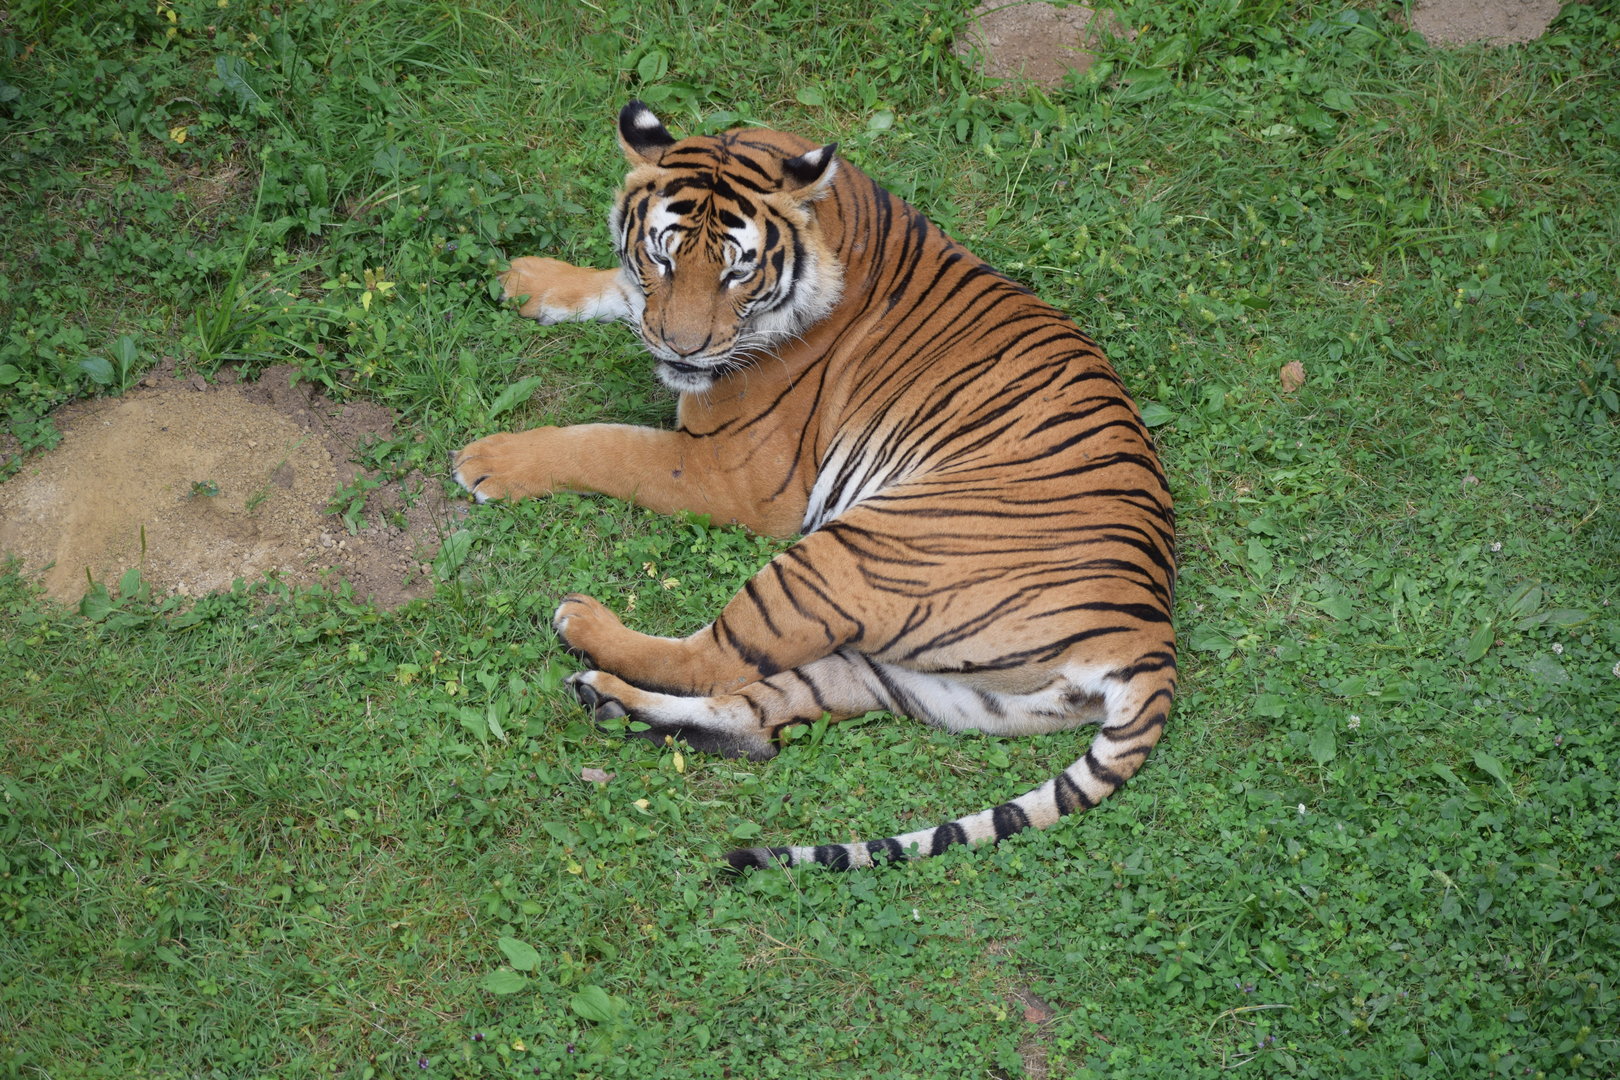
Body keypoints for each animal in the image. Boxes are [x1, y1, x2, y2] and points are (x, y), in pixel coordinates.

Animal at [453, 102, 1176, 871]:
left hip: (845, 555)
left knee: (710, 662)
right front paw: (526, 279)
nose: (681, 350)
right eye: (663, 256)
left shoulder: (726, 471)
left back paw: (583, 621)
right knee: (752, 724)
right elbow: (616, 290)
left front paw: (489, 459)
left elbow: (603, 444)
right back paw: (609, 703)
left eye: (736, 275)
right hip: (904, 680)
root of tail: (1149, 640)